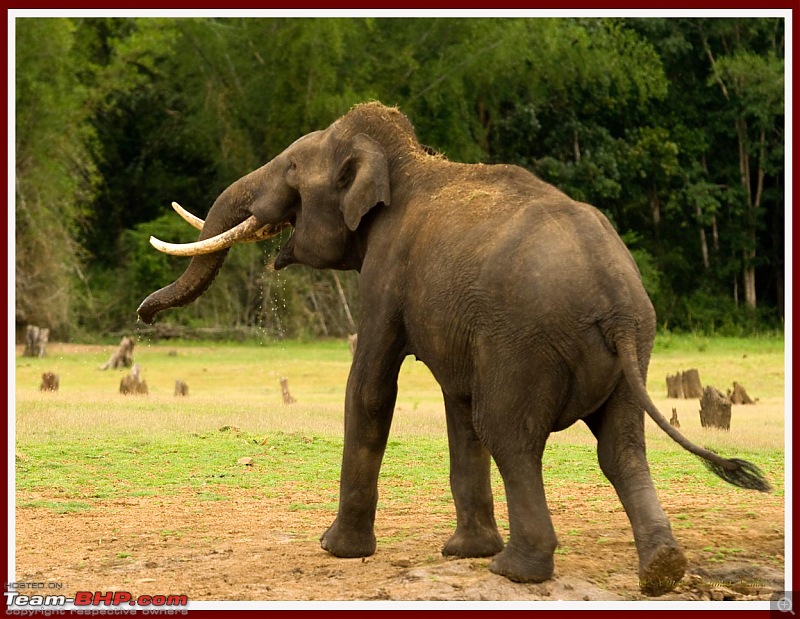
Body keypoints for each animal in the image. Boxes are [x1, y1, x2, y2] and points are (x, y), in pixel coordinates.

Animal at [141, 101, 772, 596]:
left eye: (293, 169)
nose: (144, 318)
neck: (408, 160)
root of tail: (615, 301)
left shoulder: (387, 273)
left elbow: (372, 388)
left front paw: (338, 549)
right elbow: (456, 403)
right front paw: (463, 551)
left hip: (527, 344)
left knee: (511, 433)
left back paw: (516, 570)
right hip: (631, 349)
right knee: (618, 448)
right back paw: (661, 571)